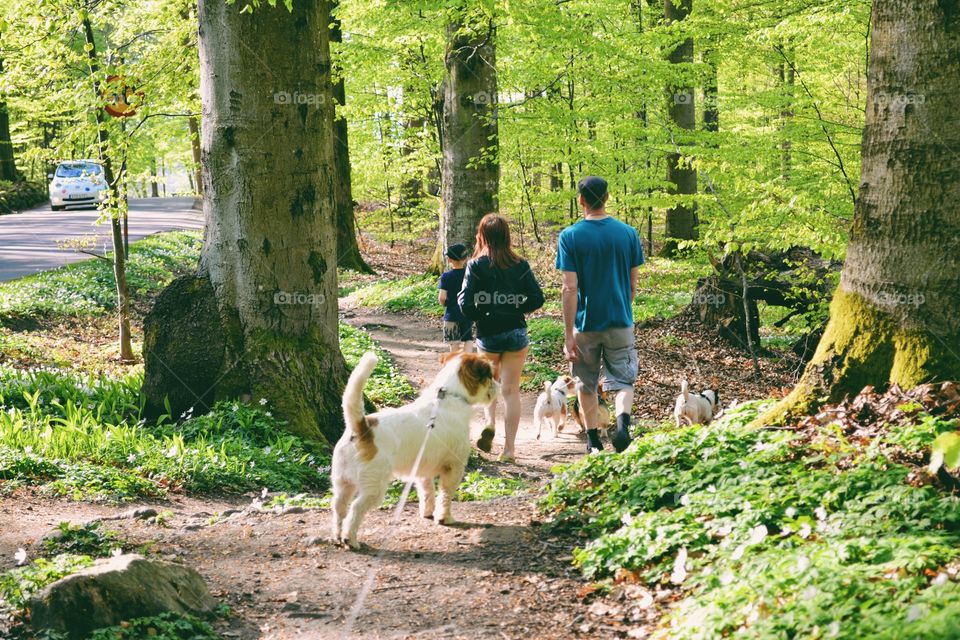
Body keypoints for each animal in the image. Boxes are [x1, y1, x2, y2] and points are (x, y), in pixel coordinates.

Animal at [330, 348, 498, 548]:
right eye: (489, 374)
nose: (499, 387)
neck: (450, 395)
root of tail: (362, 428)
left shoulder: (422, 471)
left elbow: (427, 492)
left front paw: (427, 512)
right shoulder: (454, 468)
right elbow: (446, 495)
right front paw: (445, 518)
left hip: (342, 483)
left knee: (338, 507)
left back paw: (337, 536)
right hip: (374, 487)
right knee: (355, 509)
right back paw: (351, 539)